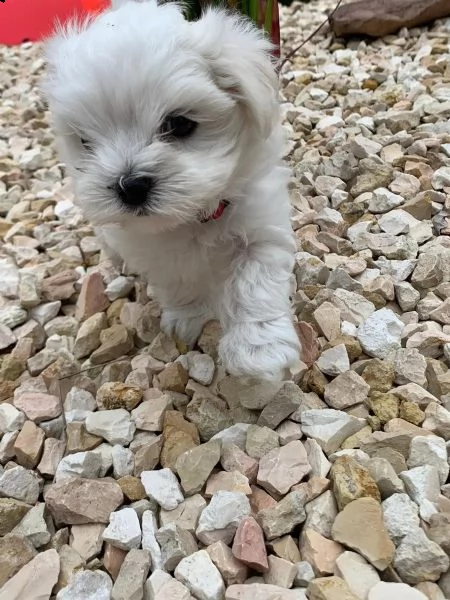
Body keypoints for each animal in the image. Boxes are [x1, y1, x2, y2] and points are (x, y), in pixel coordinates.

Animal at [44, 0, 300, 380]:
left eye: (179, 124)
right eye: (86, 141)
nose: (130, 186)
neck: (194, 217)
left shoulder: (261, 227)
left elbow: (254, 283)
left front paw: (259, 349)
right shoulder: (153, 251)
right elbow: (179, 283)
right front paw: (188, 319)